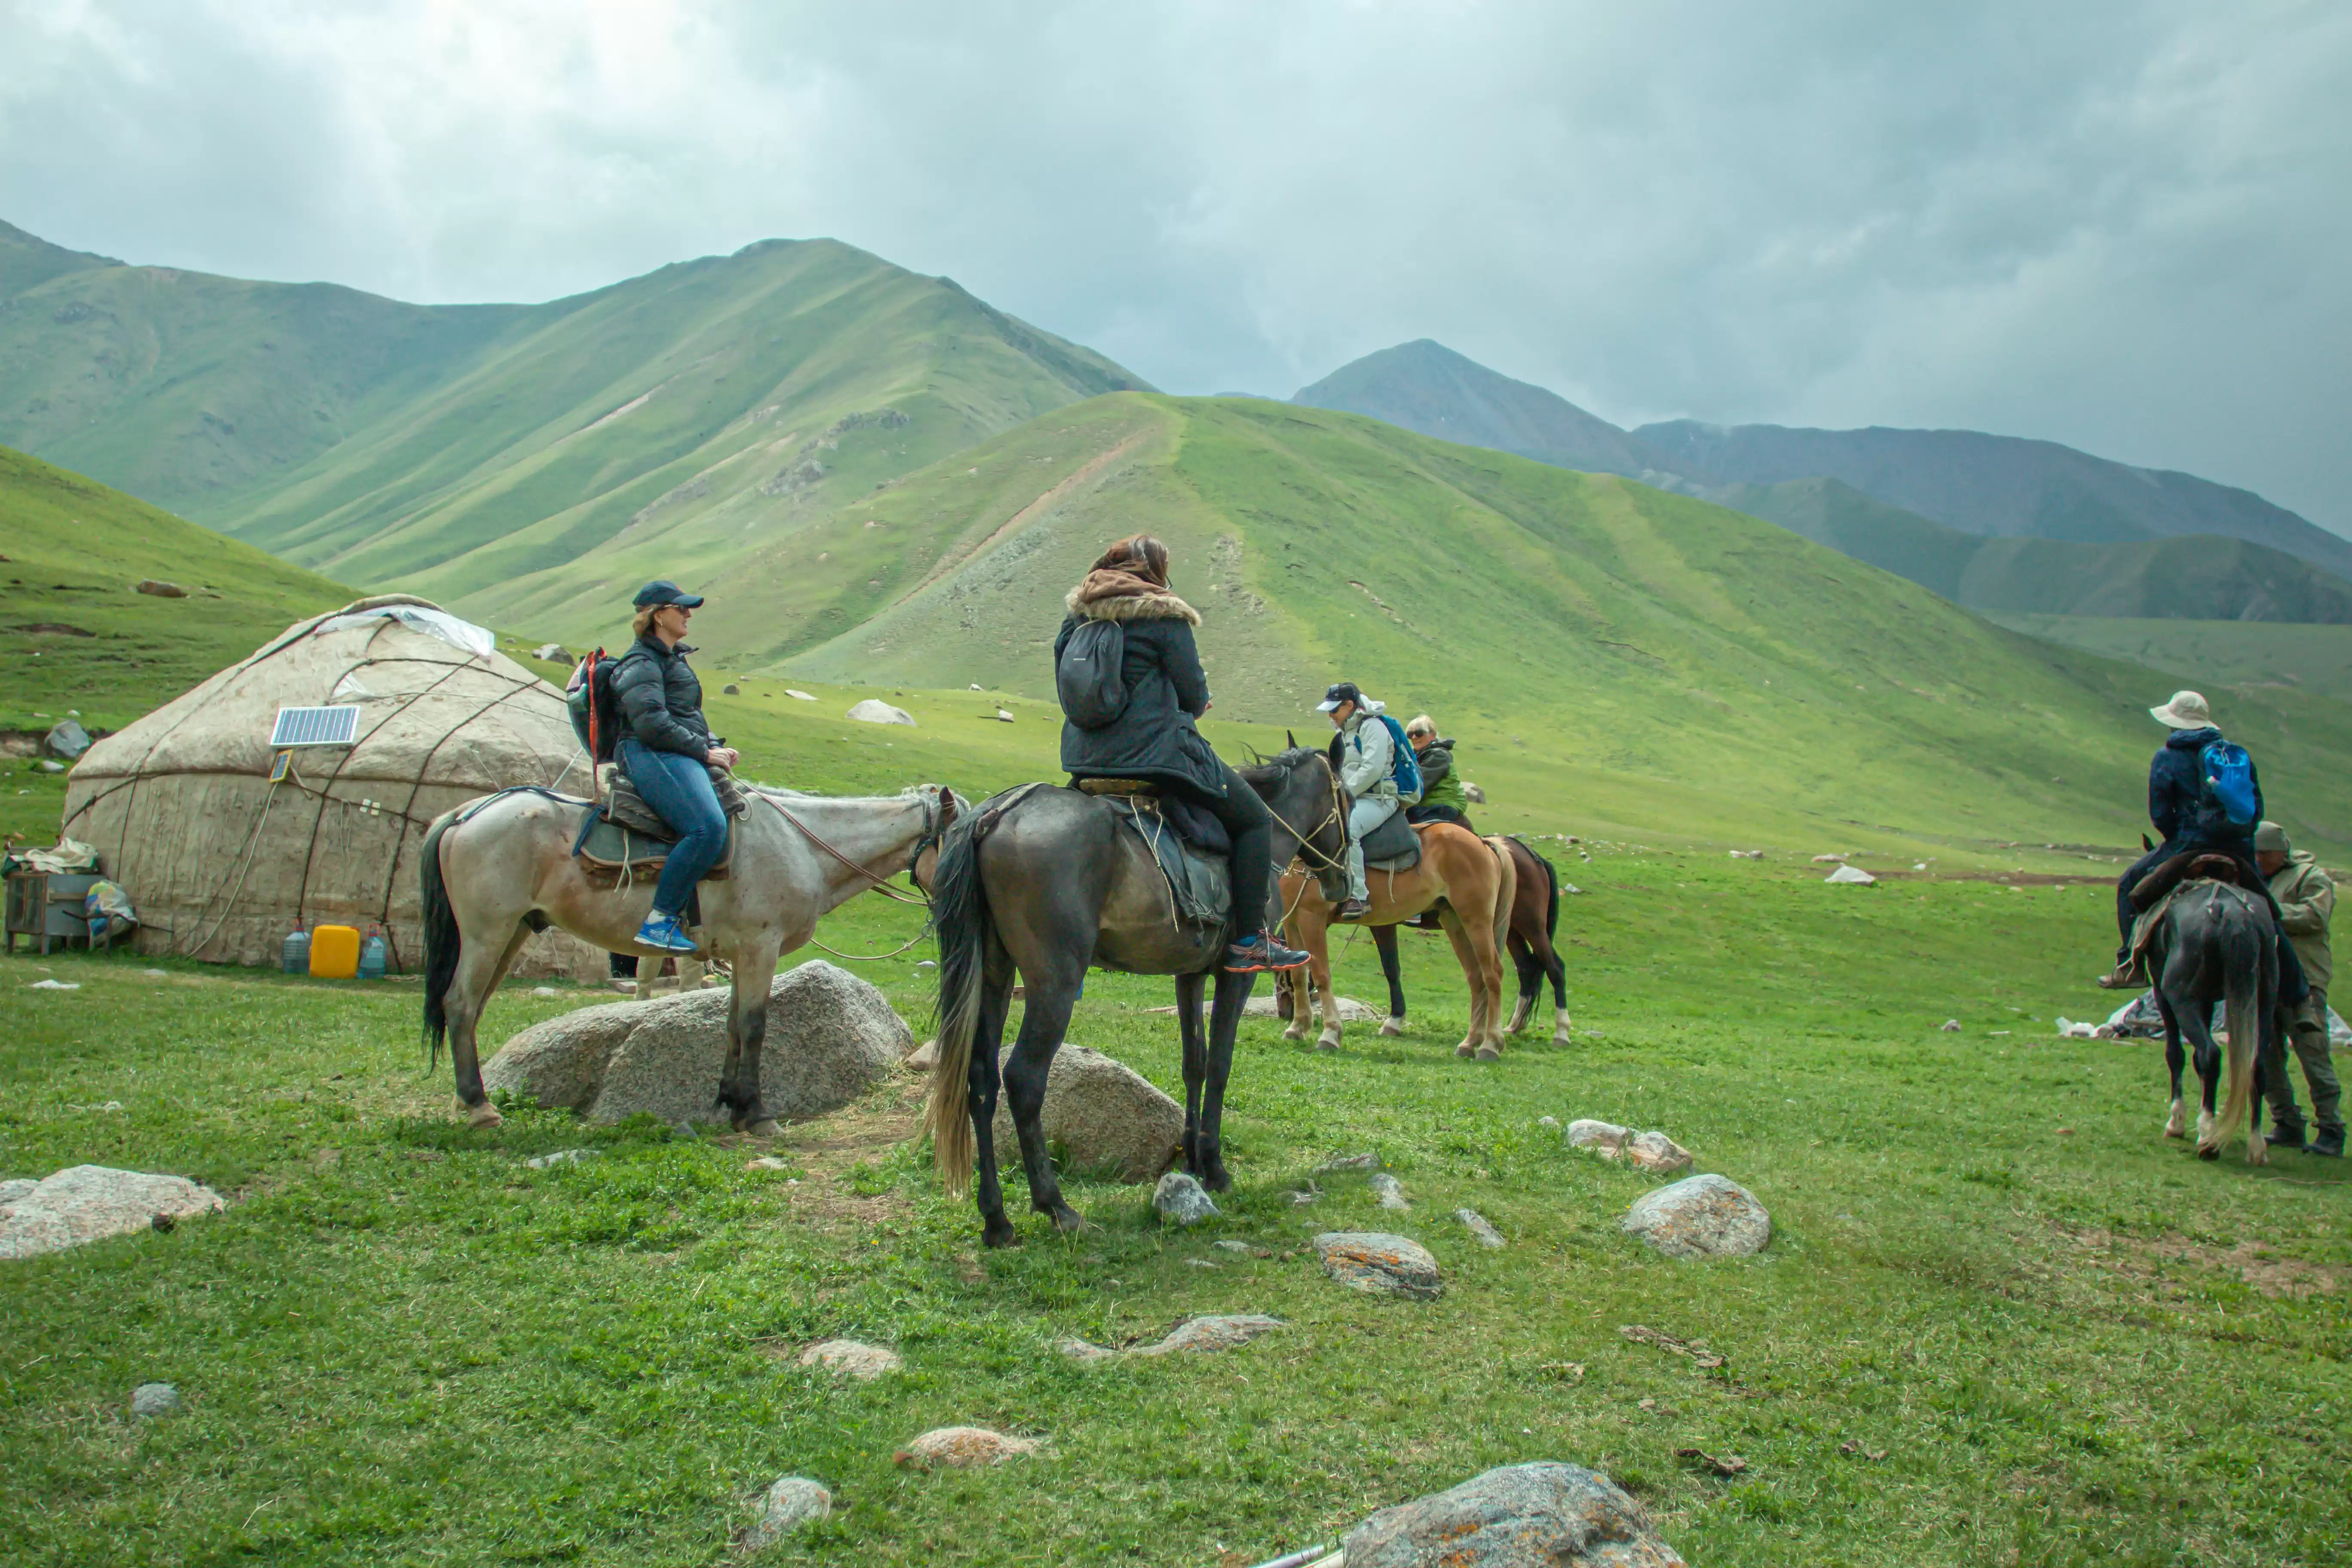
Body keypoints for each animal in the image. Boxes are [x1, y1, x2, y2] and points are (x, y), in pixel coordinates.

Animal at [421, 782, 956, 1134]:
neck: (801, 846)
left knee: (472, 1007)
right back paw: (480, 1108)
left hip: (512, 932)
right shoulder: (760, 947)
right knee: (460, 1004)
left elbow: (733, 1025)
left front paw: (730, 1103)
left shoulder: (740, 953)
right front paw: (758, 1114)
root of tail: (466, 814)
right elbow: (755, 1026)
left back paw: (468, 1100)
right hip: (487, 932)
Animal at [923, 747, 1351, 1248]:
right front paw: (1216, 1168)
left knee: (981, 1078)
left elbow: (1195, 1063)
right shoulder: (1235, 977)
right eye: (1347, 801)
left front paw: (1193, 1161)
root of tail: (995, 815)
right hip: (1056, 982)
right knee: (1024, 1080)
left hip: (994, 975)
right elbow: (1221, 1066)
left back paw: (996, 1220)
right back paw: (1056, 1207)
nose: (1343, 887)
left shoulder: (1189, 974)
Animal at [1363, 834, 1571, 1046]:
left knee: (1555, 967)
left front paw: (1394, 1021)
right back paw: (1514, 1026)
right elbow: (1391, 969)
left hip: (1531, 926)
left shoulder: (1384, 923)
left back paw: (1561, 1032)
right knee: (1526, 968)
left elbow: (1391, 969)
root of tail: (1534, 858)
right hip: (1512, 930)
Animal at [2146, 871, 2276, 1163]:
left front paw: (2177, 1123)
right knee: (2258, 1065)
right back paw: (2256, 1145)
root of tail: (2235, 913)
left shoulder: (2164, 995)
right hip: (2264, 1000)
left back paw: (2208, 1134)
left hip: (2180, 998)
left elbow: (2177, 1055)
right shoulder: (2206, 1000)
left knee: (2211, 1054)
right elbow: (2195, 1060)